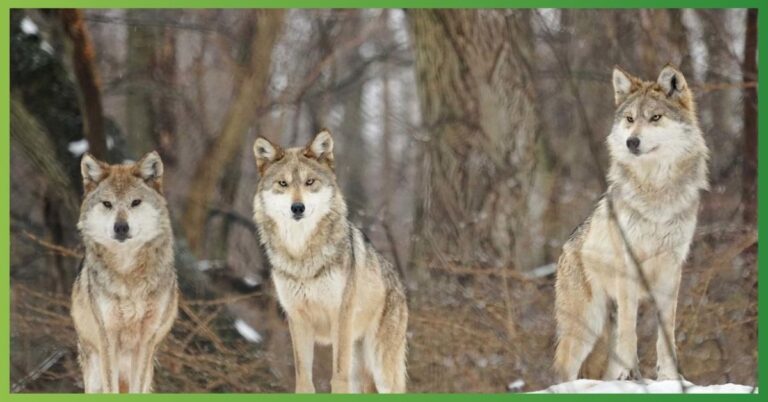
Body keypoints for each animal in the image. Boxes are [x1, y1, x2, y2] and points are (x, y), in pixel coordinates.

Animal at [71, 151, 178, 393]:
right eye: (107, 204)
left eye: (135, 202)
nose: (120, 227)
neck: (128, 273)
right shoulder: (108, 336)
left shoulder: (146, 339)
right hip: (93, 371)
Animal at [252, 130, 408, 393]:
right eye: (283, 183)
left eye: (310, 182)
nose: (297, 207)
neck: (302, 256)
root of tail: (399, 283)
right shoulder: (297, 319)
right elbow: (303, 379)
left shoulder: (340, 316)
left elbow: (337, 377)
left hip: (381, 368)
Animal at [553, 65, 709, 382]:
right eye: (629, 119)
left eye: (655, 118)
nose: (632, 142)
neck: (656, 191)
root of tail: (566, 248)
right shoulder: (628, 268)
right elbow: (631, 331)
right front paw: (631, 375)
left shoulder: (672, 270)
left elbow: (666, 333)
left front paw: (669, 379)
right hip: (586, 324)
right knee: (565, 368)